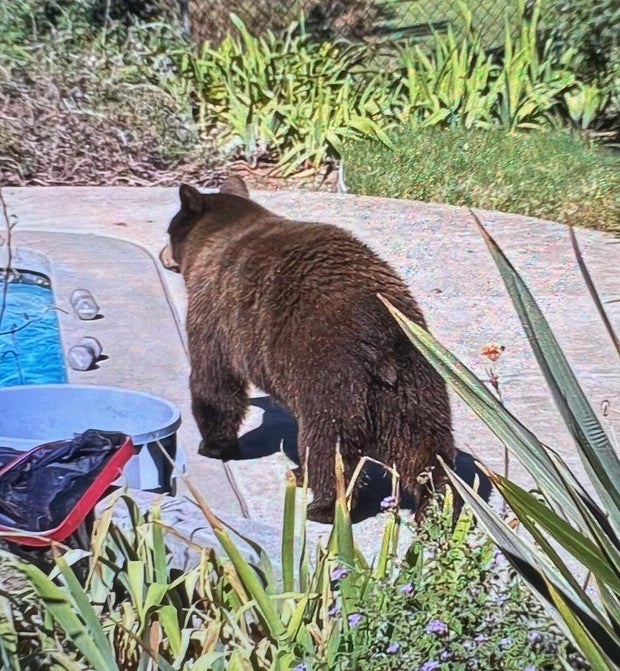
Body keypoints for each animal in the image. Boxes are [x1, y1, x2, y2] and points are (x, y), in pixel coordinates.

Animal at [161, 176, 456, 523]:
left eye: (169, 231)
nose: (163, 254)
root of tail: (381, 336)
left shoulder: (214, 311)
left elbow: (214, 379)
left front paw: (215, 445)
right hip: (416, 381)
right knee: (425, 447)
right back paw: (438, 505)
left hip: (330, 373)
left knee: (329, 444)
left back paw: (324, 505)